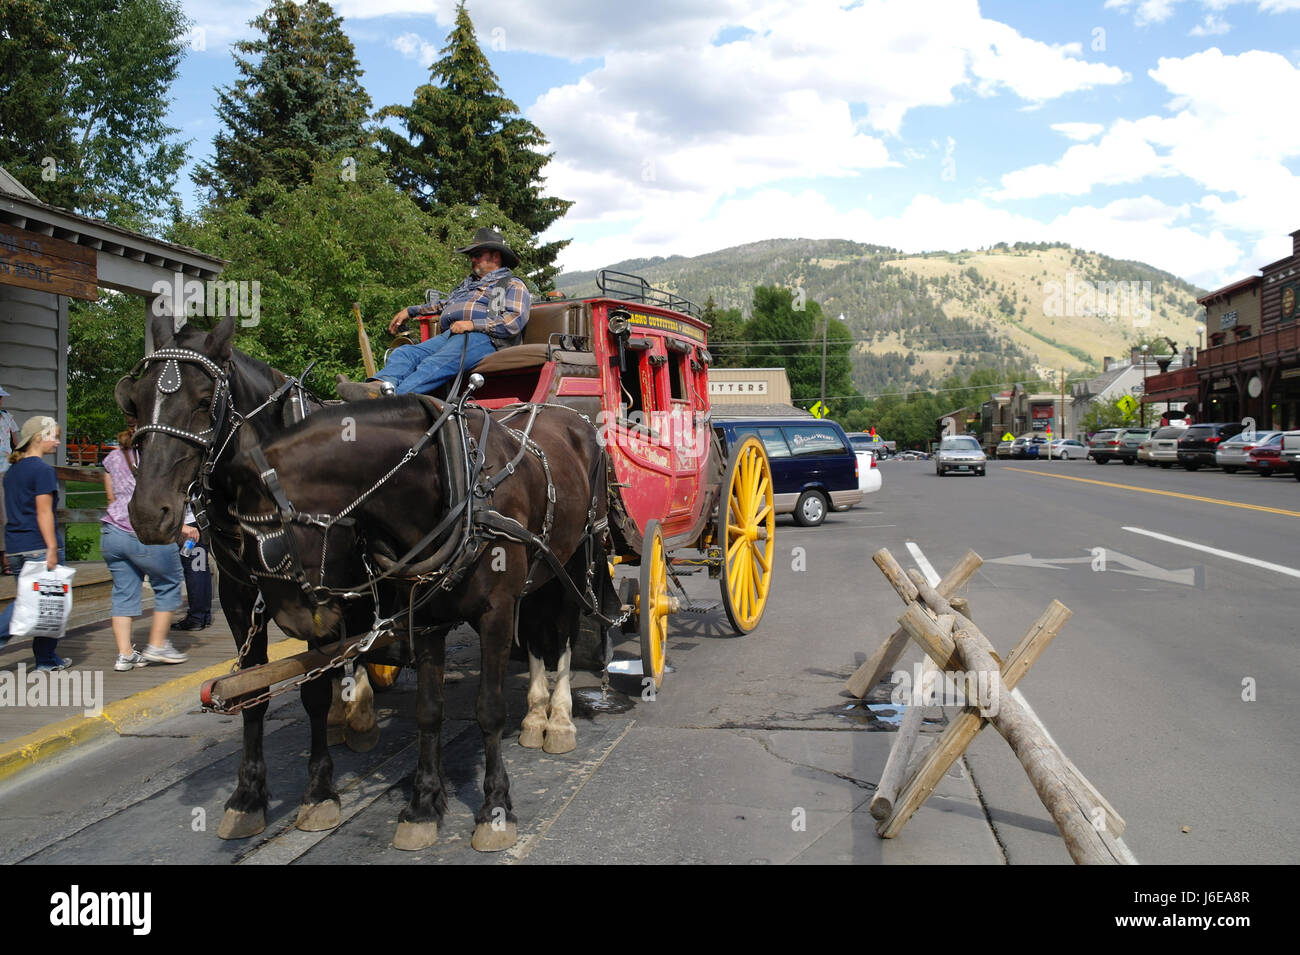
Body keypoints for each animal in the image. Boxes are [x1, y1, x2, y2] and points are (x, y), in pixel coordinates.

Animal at [113, 311, 379, 836]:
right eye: (136, 400)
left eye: (203, 402)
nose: (149, 513)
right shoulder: (238, 600)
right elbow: (253, 689)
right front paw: (247, 796)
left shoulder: (317, 602)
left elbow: (312, 686)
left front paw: (319, 790)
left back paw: (358, 710)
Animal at [220, 394, 616, 852]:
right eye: (237, 544)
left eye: (269, 550)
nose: (297, 623)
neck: (455, 479)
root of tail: (570, 414)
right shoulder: (425, 620)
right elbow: (428, 711)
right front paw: (423, 805)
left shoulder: (496, 612)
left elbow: (490, 709)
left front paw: (495, 808)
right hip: (541, 571)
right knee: (536, 633)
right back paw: (536, 717)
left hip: (577, 557)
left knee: (565, 633)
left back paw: (560, 719)